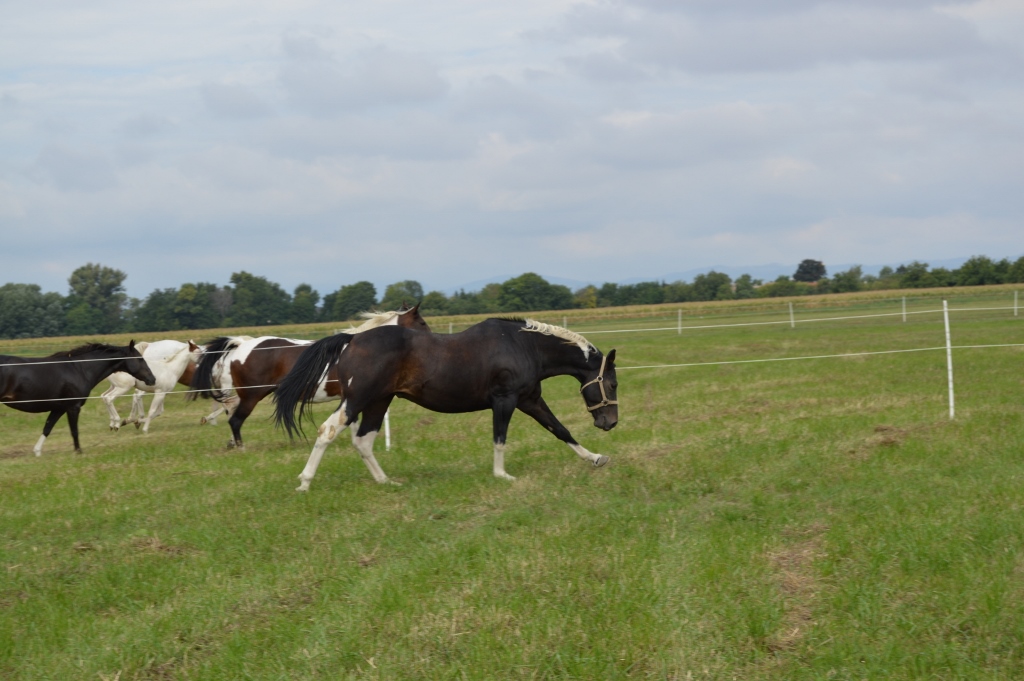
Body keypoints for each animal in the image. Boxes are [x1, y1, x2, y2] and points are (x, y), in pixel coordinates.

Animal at [0, 341, 156, 456]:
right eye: (139, 358)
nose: (152, 379)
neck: (80, 369)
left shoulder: (59, 408)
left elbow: (47, 428)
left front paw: (37, 452)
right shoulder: (73, 407)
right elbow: (74, 430)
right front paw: (78, 451)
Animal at [189, 305, 430, 450]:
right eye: (422, 323)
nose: (431, 341)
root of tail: (241, 345)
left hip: (242, 395)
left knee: (230, 411)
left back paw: (229, 441)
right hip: (251, 396)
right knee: (235, 420)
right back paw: (241, 447)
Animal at [273, 318, 618, 492]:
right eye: (613, 384)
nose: (610, 423)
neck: (522, 345)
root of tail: (352, 339)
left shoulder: (530, 400)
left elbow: (560, 430)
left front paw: (596, 458)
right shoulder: (505, 400)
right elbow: (500, 439)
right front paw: (502, 475)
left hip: (379, 401)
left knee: (363, 441)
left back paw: (386, 481)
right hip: (358, 399)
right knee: (328, 431)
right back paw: (305, 482)